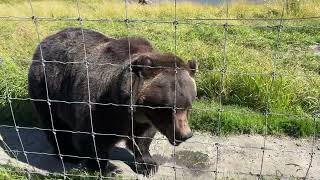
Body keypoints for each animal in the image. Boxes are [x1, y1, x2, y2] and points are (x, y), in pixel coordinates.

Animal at [28, 27, 198, 176]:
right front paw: (110, 169)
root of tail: (46, 39)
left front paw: (148, 165)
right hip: (48, 87)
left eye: (188, 107)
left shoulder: (143, 119)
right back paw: (68, 153)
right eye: (169, 108)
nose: (185, 135)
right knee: (54, 124)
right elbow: (93, 138)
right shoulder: (101, 107)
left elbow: (143, 138)